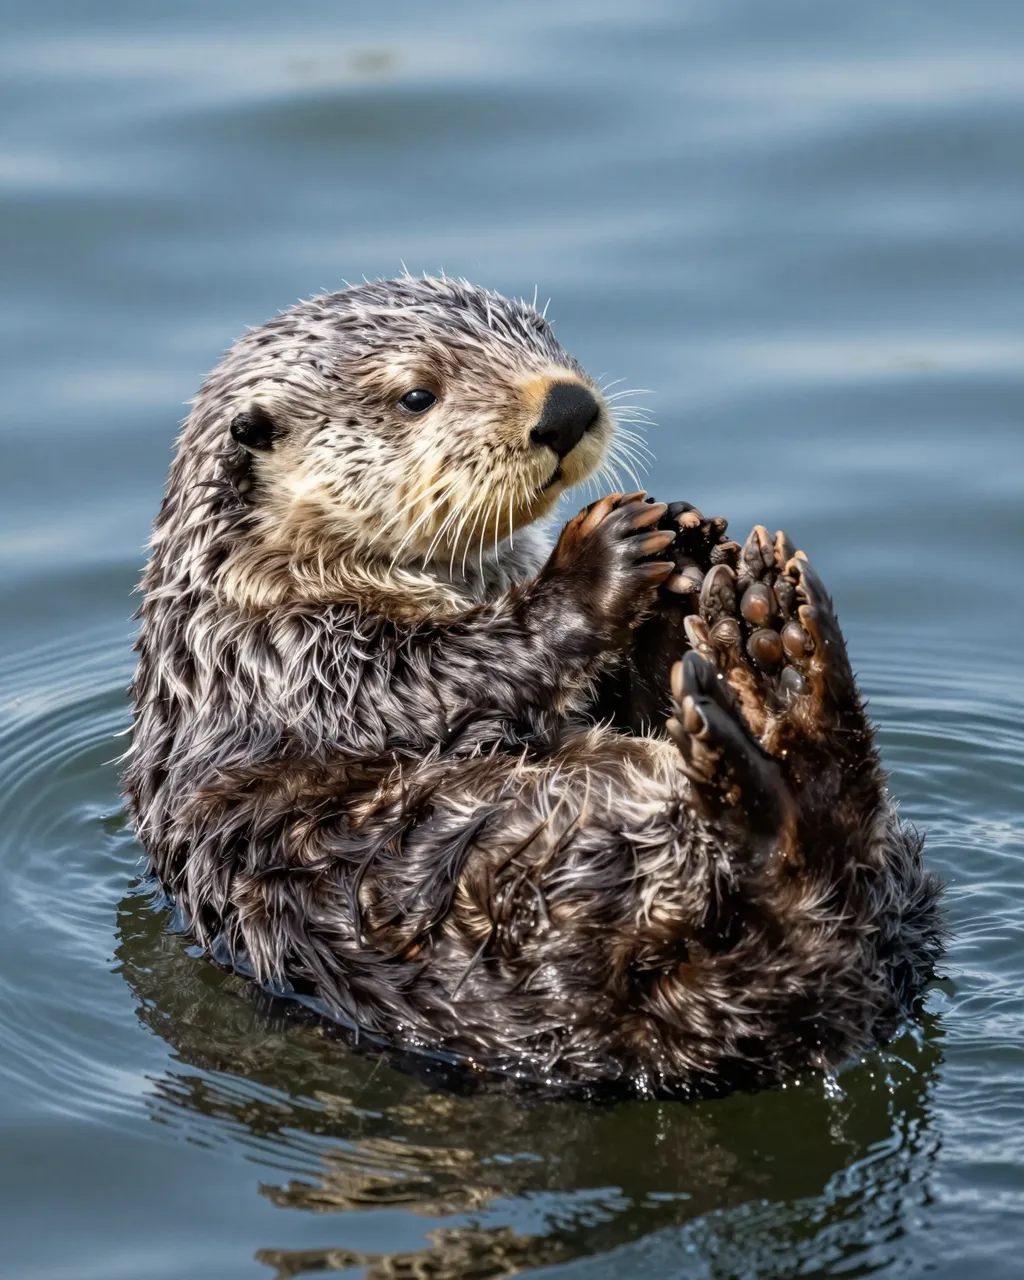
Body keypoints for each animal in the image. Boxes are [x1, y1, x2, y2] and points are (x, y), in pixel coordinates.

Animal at [126, 275, 944, 1096]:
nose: (567, 407)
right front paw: (606, 556)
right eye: (416, 395)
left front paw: (684, 545)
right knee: (782, 857)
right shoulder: (283, 657)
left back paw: (774, 643)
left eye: (545, 336)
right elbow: (434, 674)